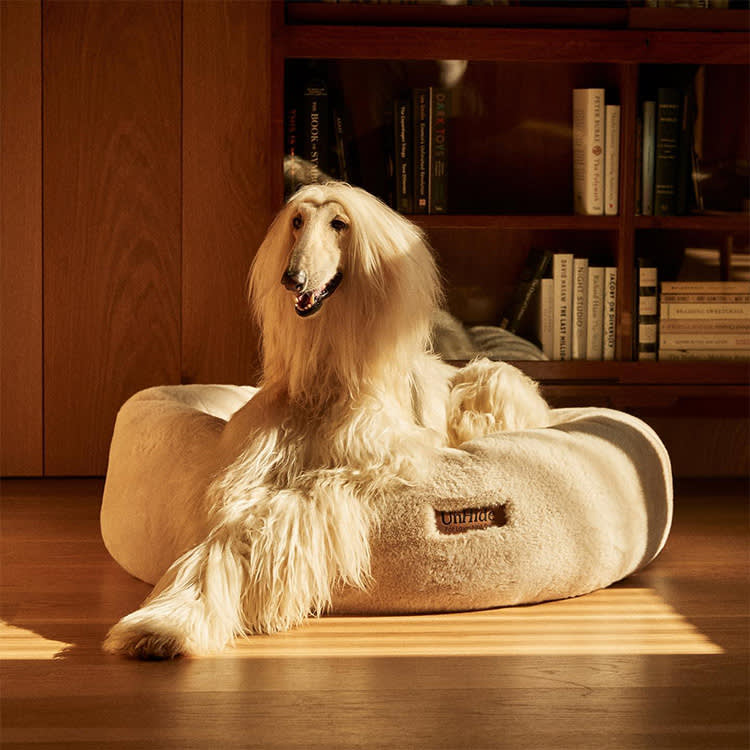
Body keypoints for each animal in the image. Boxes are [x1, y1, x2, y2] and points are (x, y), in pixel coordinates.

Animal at [104, 185, 552, 660]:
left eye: (339, 224)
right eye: (296, 221)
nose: (292, 279)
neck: (325, 382)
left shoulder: (362, 462)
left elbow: (291, 504)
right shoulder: (251, 469)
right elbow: (225, 529)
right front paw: (165, 625)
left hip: (492, 379)